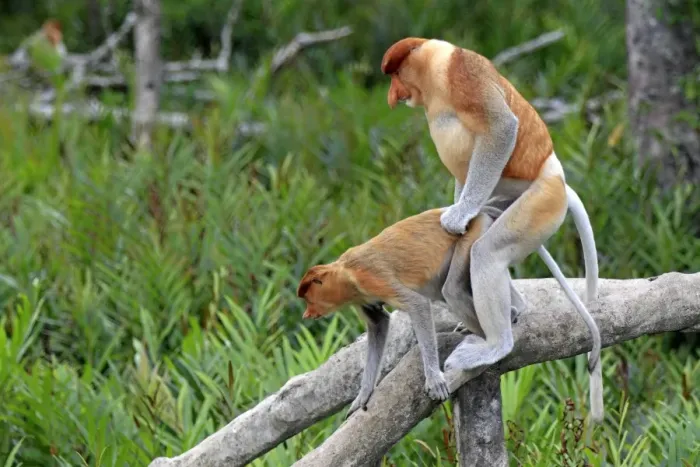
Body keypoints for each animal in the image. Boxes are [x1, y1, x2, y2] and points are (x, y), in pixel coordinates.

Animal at [297, 205, 519, 418]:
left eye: (308, 298)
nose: (306, 314)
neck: (346, 273)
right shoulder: (362, 298)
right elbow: (378, 323)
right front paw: (363, 396)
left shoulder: (370, 278)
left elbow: (417, 304)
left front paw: (434, 380)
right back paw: (513, 312)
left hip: (474, 232)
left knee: (452, 290)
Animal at [380, 37, 603, 422]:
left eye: (395, 74)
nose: (393, 96)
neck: (433, 72)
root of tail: (557, 179)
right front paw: (458, 213)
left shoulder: (464, 74)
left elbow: (501, 128)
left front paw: (455, 218)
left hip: (541, 204)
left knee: (487, 253)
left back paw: (496, 344)